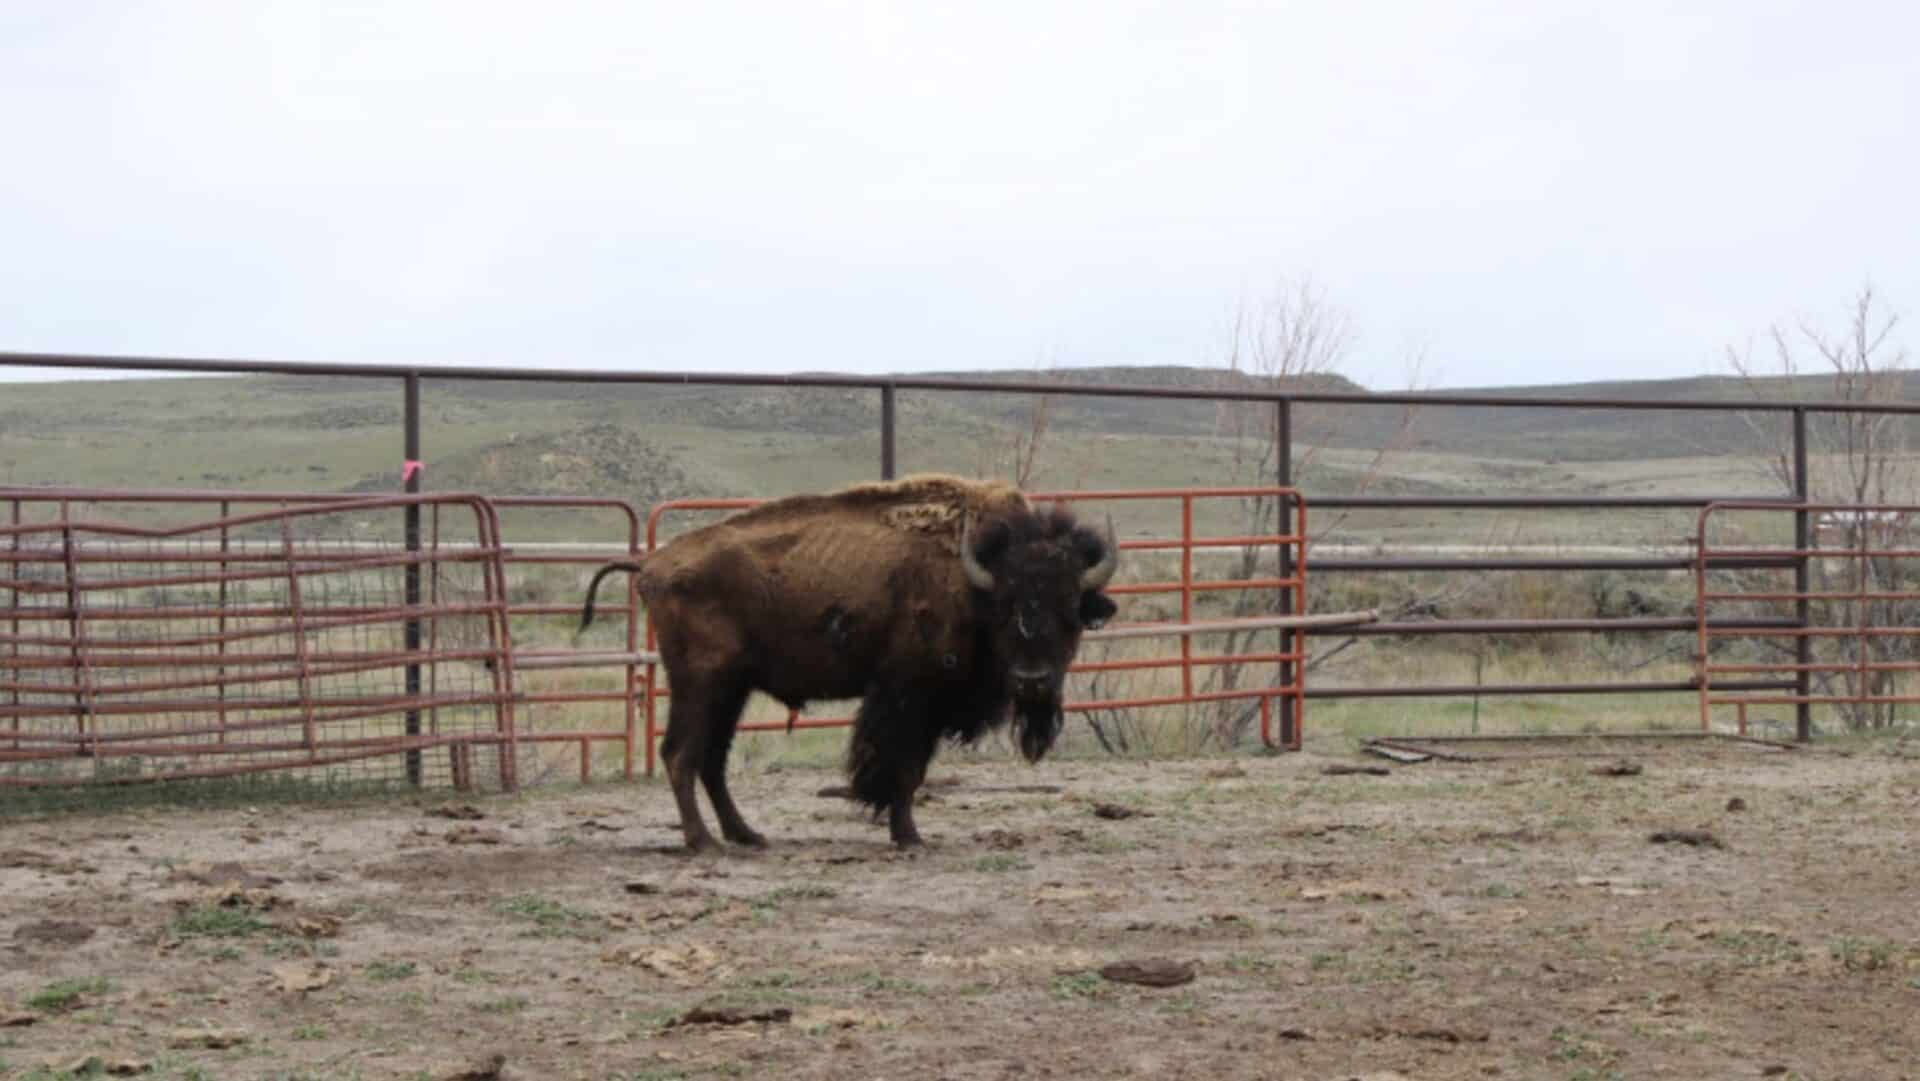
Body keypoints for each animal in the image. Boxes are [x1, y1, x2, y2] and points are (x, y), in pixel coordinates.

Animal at [579, 474, 1119, 851]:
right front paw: (909, 836)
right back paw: (704, 842)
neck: (973, 579)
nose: (1032, 681)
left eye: (1072, 610)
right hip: (701, 684)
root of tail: (653, 564)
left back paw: (747, 835)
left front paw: (904, 832)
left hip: (732, 689)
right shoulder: (908, 696)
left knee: (711, 759)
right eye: (1006, 607)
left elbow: (910, 769)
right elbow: (903, 769)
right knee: (680, 754)